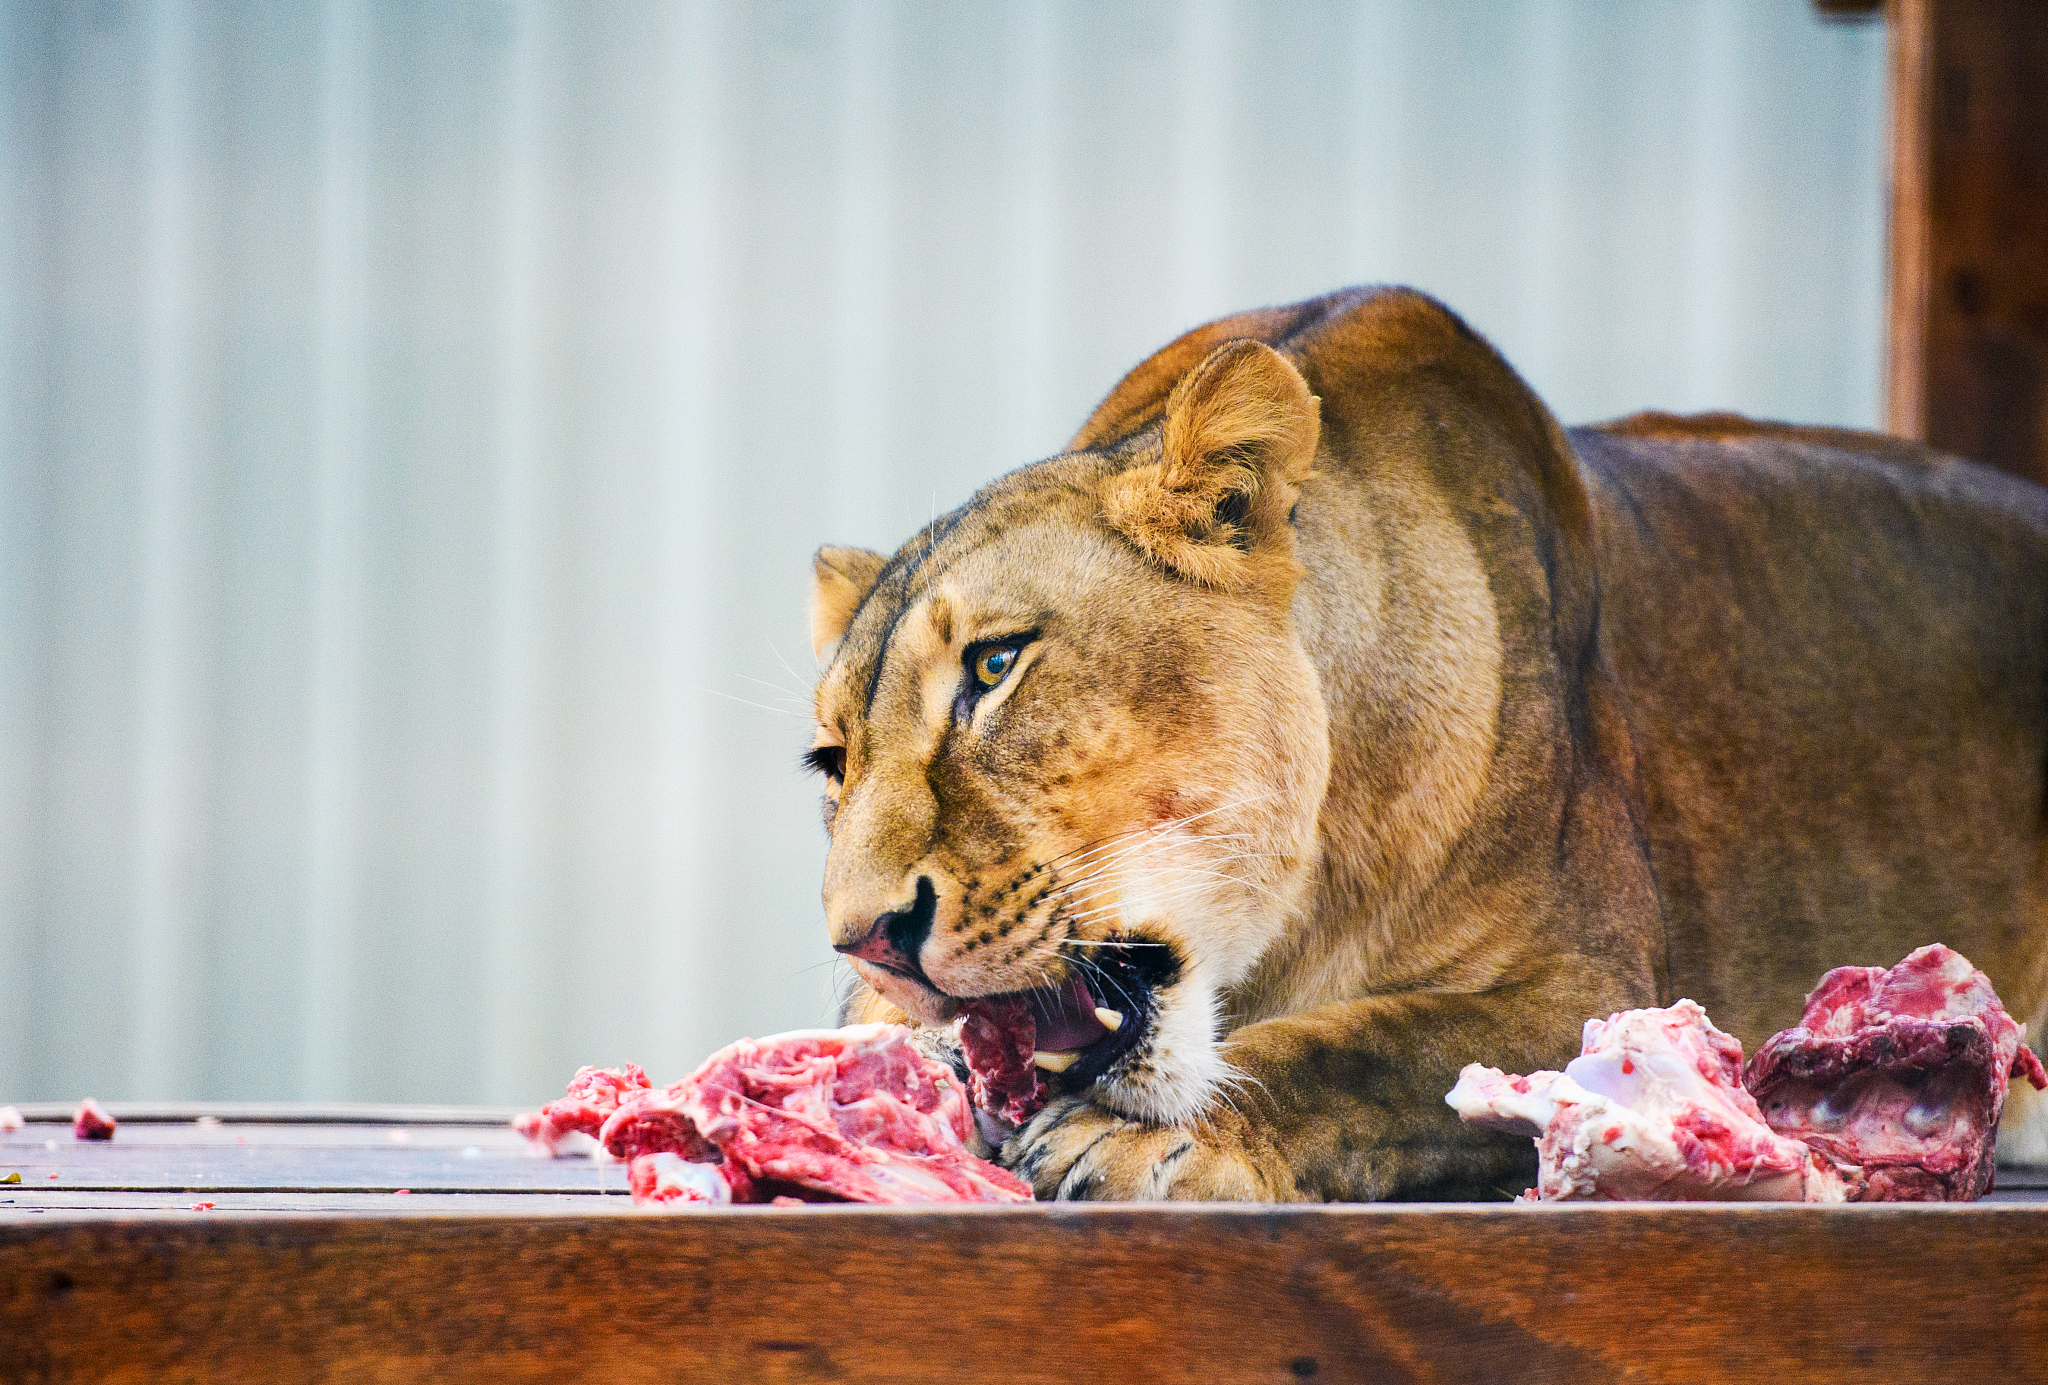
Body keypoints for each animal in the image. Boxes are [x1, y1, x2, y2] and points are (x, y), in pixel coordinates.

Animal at [804, 286, 2048, 1201]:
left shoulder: (1592, 983)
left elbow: (1365, 1047)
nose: (865, 938)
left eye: (993, 667)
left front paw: (1141, 1139)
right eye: (831, 764)